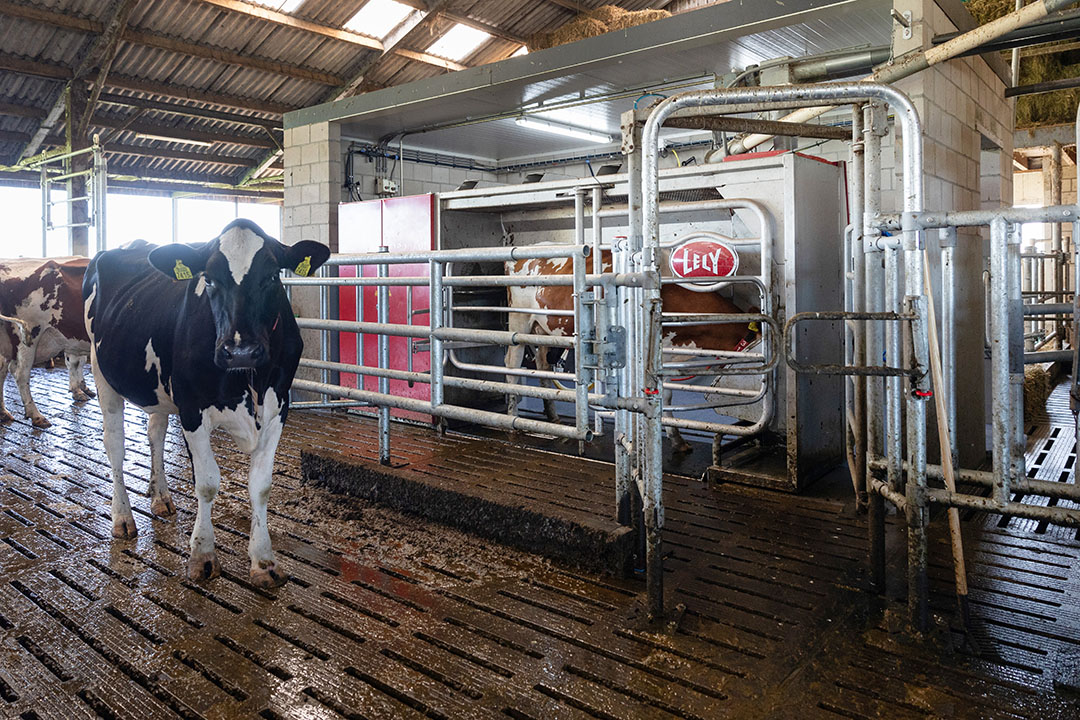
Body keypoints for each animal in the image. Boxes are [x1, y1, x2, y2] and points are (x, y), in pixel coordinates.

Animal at [83, 221, 328, 591]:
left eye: (273, 275)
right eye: (209, 279)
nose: (240, 351)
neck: (246, 377)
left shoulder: (278, 409)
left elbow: (261, 485)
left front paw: (264, 561)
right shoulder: (192, 409)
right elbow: (208, 482)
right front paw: (203, 554)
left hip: (159, 391)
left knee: (154, 433)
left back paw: (161, 497)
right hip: (102, 373)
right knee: (115, 447)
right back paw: (122, 517)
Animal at [505, 250, 760, 453]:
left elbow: (666, 396)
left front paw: (674, 438)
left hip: (542, 329)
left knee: (542, 366)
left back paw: (553, 416)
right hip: (519, 320)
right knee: (512, 365)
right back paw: (511, 420)